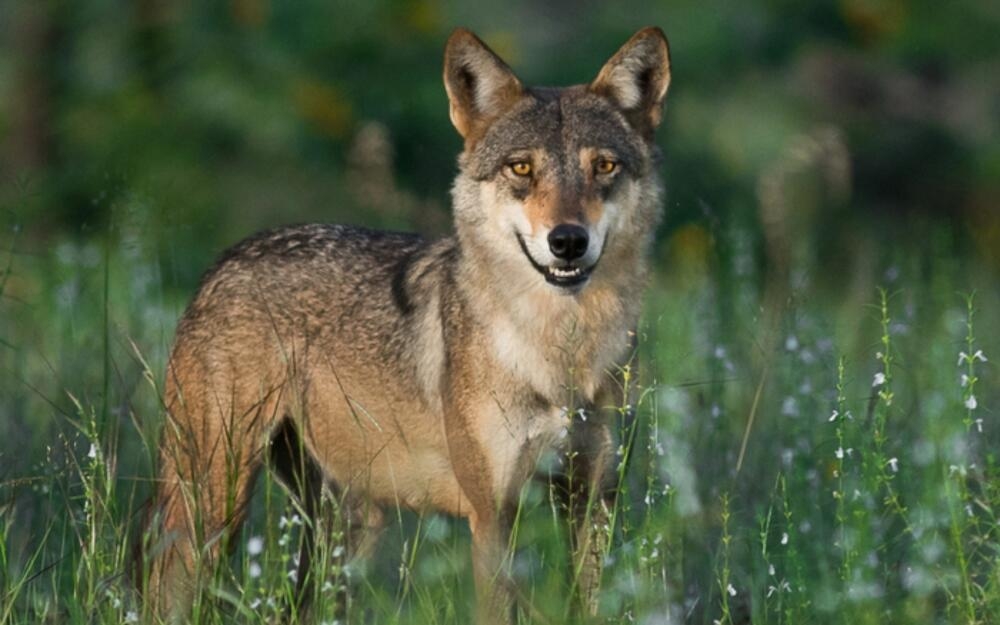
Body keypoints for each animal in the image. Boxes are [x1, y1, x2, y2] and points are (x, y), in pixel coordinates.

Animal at [141, 26, 672, 620]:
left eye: (604, 167)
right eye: (521, 168)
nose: (568, 241)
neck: (560, 351)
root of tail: (223, 260)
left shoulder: (591, 504)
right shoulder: (493, 517)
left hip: (345, 529)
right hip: (214, 506)